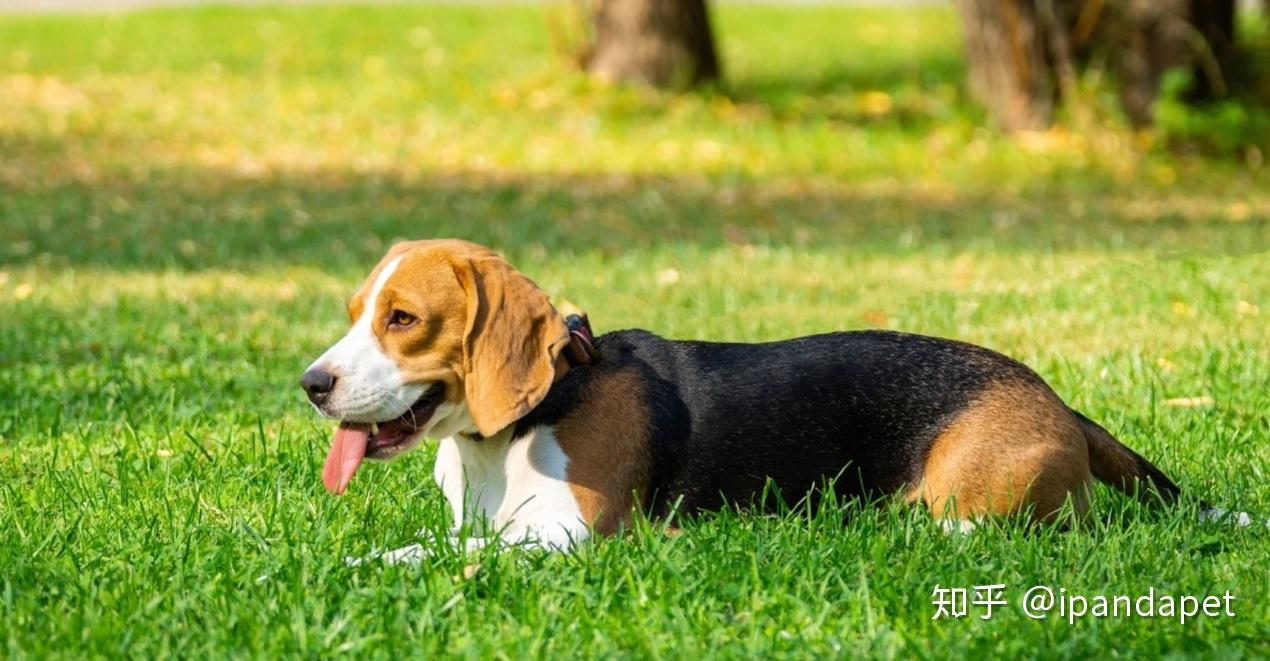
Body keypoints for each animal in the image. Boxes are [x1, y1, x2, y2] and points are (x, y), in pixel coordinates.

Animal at [302, 237, 1193, 551]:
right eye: (354, 313)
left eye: (403, 319)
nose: (311, 384)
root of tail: (1055, 398)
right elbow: (436, 544)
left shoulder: (576, 537)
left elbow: (467, 554)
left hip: (964, 504)